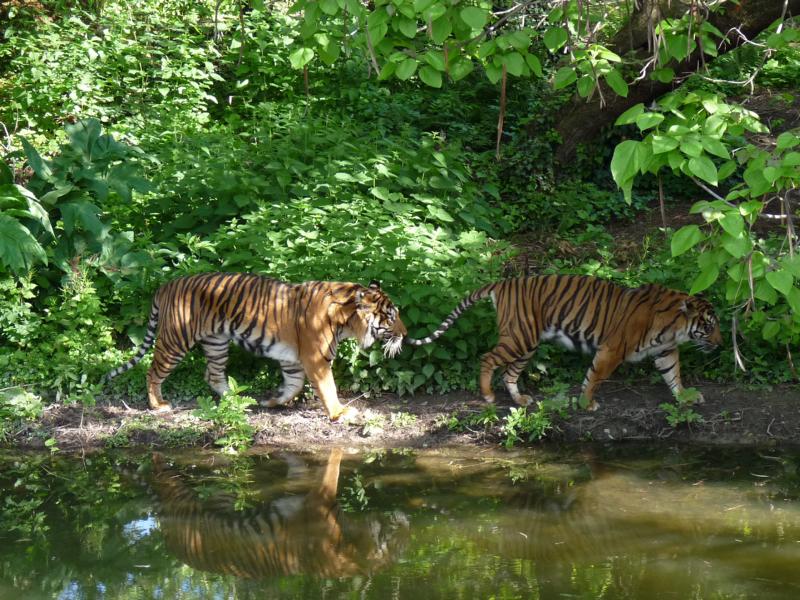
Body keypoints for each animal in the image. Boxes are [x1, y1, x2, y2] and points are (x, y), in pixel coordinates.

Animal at [104, 272, 407, 421]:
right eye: (391, 317)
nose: (405, 334)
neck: (345, 319)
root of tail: (165, 286)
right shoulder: (315, 359)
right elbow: (327, 388)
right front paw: (338, 413)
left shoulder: (293, 360)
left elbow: (294, 384)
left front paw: (273, 401)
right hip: (175, 340)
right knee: (153, 371)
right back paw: (158, 404)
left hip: (217, 343)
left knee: (213, 374)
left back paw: (236, 400)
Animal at [406, 275, 722, 411]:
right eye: (708, 327)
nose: (720, 344)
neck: (674, 327)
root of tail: (502, 283)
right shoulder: (612, 350)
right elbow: (594, 377)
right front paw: (586, 403)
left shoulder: (666, 350)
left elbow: (673, 375)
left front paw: (685, 396)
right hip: (519, 339)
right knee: (487, 358)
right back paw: (487, 396)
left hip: (527, 343)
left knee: (509, 373)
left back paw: (520, 400)